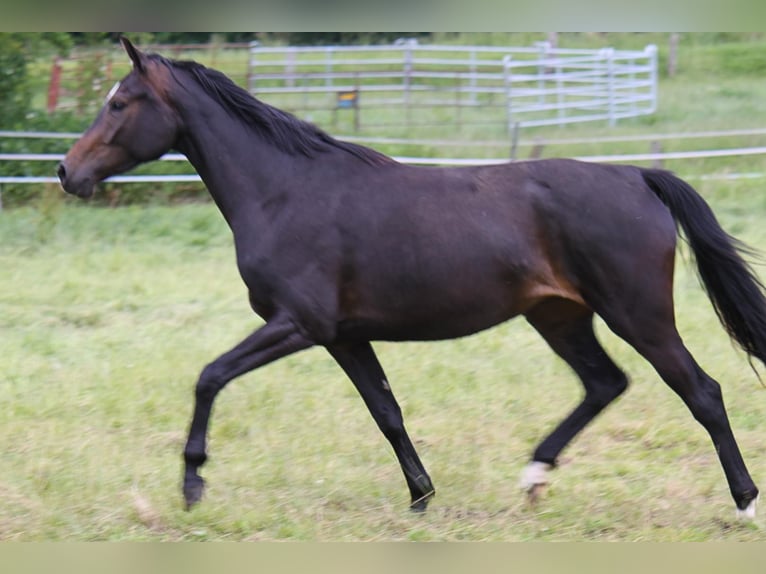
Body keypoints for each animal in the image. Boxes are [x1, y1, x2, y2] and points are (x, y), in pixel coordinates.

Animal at [58, 38, 766, 520]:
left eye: (120, 103)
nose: (68, 172)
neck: (285, 191)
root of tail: (638, 175)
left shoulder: (297, 324)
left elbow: (209, 376)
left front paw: (192, 484)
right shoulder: (343, 336)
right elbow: (388, 413)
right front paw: (422, 496)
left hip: (638, 314)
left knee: (702, 392)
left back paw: (744, 503)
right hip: (559, 315)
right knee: (604, 384)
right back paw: (534, 476)